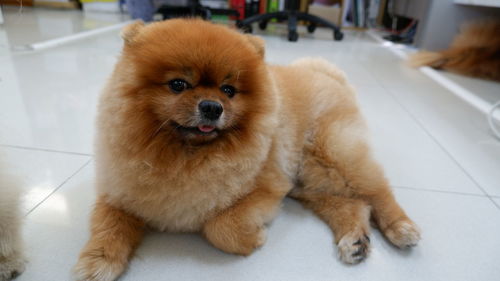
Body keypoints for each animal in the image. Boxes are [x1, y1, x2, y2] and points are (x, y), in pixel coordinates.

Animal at [74, 19, 418, 280]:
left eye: (229, 90)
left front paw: (254, 237)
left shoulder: (267, 189)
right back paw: (354, 240)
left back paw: (401, 228)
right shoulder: (120, 194)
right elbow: (108, 225)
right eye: (178, 85)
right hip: (309, 181)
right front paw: (98, 262)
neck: (184, 156)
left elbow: (219, 226)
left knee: (376, 191)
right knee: (350, 203)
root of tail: (326, 73)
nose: (212, 107)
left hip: (332, 155)